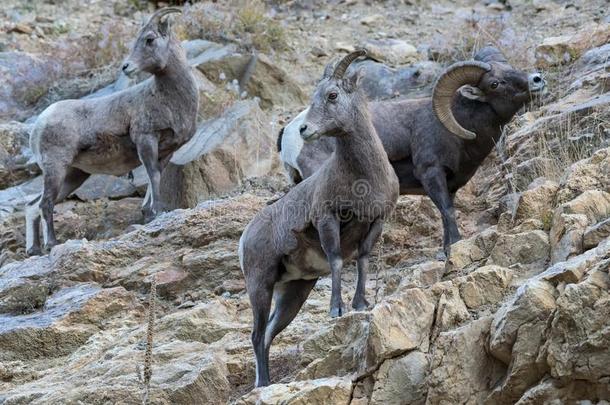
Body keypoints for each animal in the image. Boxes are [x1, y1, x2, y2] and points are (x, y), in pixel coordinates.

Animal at [25, 7, 197, 254]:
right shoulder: (146, 140)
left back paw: (34, 250)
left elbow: (156, 176)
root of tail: (40, 123)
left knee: (32, 206)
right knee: (45, 203)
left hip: (73, 175)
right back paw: (51, 244)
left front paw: (148, 213)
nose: (126, 67)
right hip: (56, 168)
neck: (170, 99)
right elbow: (153, 175)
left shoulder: (167, 151)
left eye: (149, 39)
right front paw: (156, 213)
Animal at [238, 49, 400, 386]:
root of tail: (245, 237)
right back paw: (263, 384)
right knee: (257, 335)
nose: (304, 130)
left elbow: (362, 261)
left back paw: (267, 382)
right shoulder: (328, 220)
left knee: (269, 334)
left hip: (294, 293)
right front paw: (336, 309)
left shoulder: (376, 221)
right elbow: (337, 261)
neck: (362, 177)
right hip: (260, 285)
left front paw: (360, 304)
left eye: (332, 95)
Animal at [276, 46, 540, 256]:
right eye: (494, 83)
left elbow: (446, 213)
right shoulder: (431, 173)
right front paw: (454, 246)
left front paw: (446, 249)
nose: (537, 79)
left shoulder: (450, 185)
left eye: (510, 68)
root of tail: (292, 133)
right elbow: (446, 211)